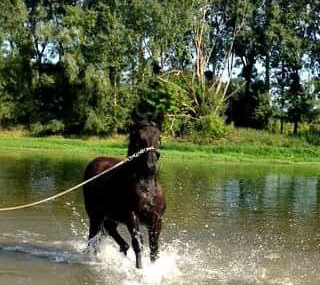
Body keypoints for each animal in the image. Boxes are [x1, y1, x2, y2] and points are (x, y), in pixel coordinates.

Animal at [81, 110, 166, 268]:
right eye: (140, 137)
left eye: (159, 137)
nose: (151, 164)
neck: (147, 187)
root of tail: (94, 162)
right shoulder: (132, 217)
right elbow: (138, 244)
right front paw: (140, 270)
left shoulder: (157, 219)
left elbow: (154, 249)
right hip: (95, 215)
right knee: (92, 239)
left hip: (112, 216)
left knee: (111, 230)